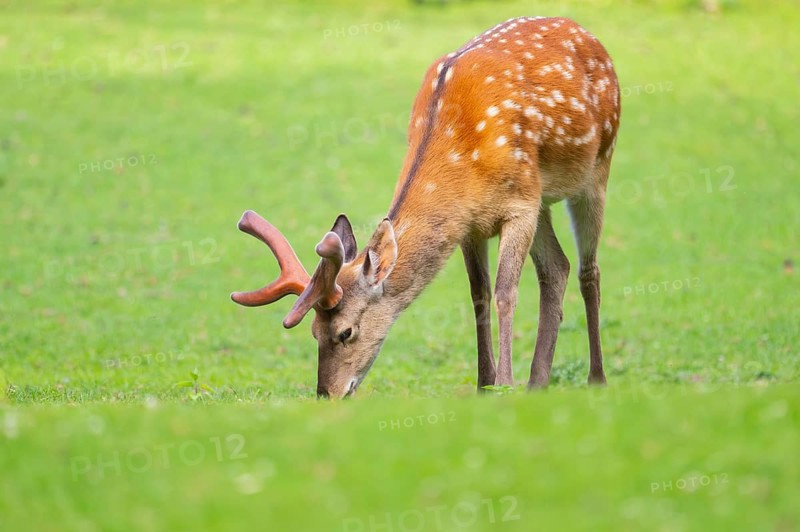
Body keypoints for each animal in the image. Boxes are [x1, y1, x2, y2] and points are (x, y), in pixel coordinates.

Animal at [231, 16, 620, 398]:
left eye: (345, 331)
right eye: (313, 331)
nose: (326, 393)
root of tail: (589, 35)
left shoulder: (521, 205)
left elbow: (504, 294)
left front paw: (505, 383)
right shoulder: (470, 224)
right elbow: (479, 295)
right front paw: (485, 384)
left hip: (597, 168)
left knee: (588, 270)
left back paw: (596, 378)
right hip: (545, 202)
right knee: (557, 267)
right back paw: (538, 382)